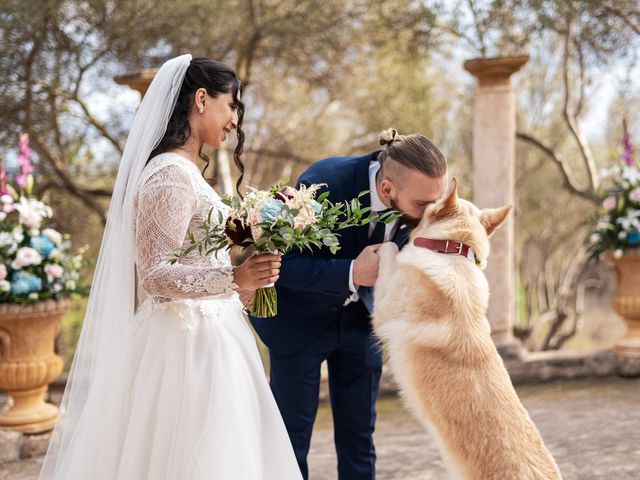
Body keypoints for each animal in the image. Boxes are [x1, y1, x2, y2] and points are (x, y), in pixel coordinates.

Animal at [372, 179, 564, 480]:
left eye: (427, 203)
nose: (399, 216)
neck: (452, 249)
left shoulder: (382, 311)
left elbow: (391, 249)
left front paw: (385, 247)